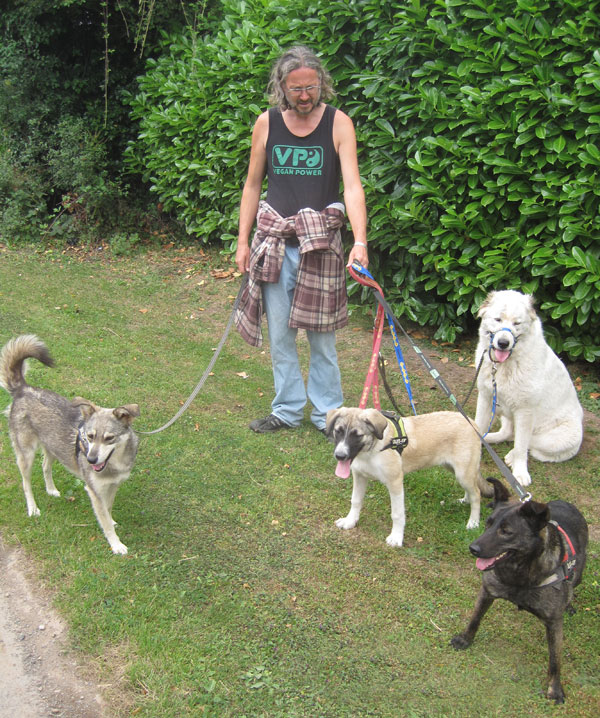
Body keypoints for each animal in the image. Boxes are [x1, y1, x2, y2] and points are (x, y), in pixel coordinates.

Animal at [450, 478, 584, 704]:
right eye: (488, 523)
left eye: (506, 531)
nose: (473, 548)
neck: (520, 574)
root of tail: (567, 503)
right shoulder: (487, 591)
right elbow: (475, 619)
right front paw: (465, 639)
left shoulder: (554, 622)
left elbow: (555, 660)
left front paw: (555, 689)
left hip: (579, 574)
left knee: (573, 587)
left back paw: (570, 604)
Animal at [474, 292, 580, 490]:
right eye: (498, 319)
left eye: (517, 323)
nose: (503, 343)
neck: (504, 366)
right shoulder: (486, 398)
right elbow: (478, 427)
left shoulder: (525, 411)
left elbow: (522, 445)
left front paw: (520, 473)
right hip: (503, 409)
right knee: (508, 433)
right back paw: (490, 439)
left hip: (554, 439)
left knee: (526, 442)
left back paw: (511, 455)